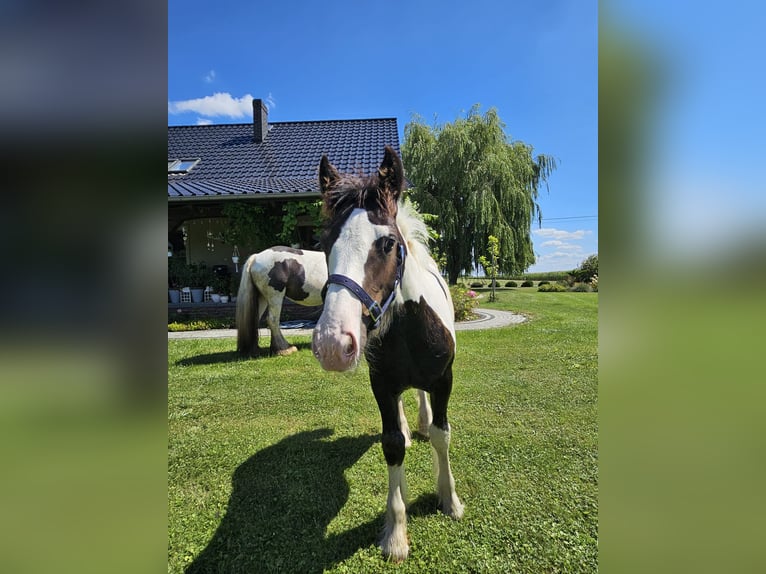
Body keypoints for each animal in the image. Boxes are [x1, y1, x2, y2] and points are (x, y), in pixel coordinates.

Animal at [314, 147, 468, 564]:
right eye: (325, 242)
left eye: (385, 243)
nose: (332, 344)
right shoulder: (381, 383)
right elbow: (392, 444)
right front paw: (396, 534)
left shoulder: (444, 380)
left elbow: (443, 435)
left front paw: (449, 500)